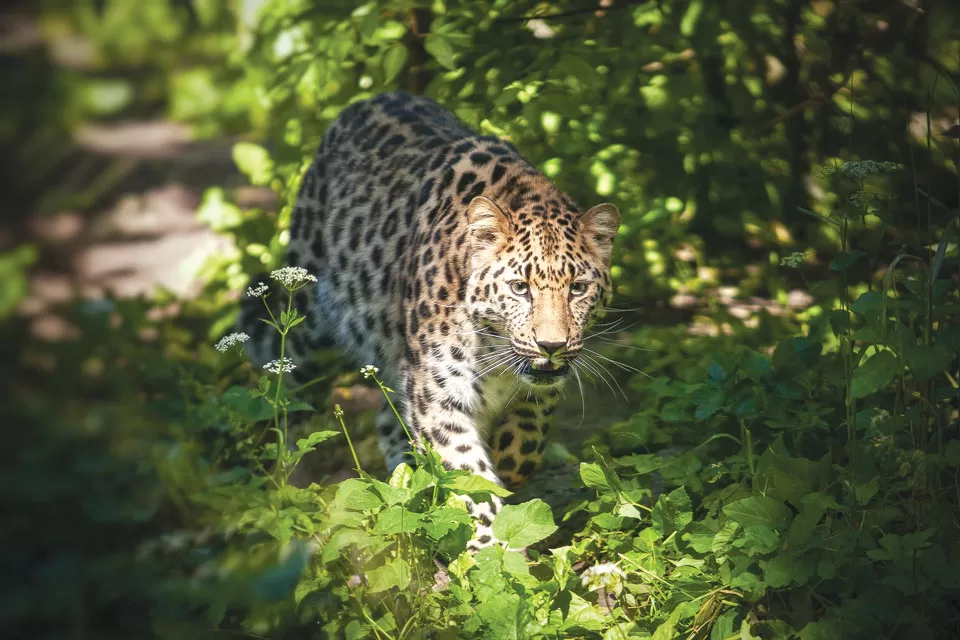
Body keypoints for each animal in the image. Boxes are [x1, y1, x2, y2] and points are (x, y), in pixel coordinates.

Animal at [240, 91, 620, 549]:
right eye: (520, 288)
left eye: (577, 289)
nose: (552, 345)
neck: (492, 348)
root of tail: (370, 98)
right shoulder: (438, 392)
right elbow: (468, 475)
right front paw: (487, 547)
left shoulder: (540, 390)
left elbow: (524, 444)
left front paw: (506, 471)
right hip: (307, 315)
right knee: (289, 393)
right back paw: (290, 485)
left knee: (387, 421)